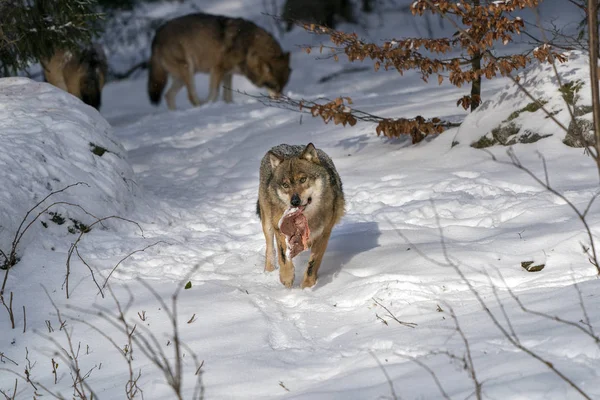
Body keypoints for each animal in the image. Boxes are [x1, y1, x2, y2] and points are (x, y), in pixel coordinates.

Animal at [149, 12, 292, 109]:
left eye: (283, 86)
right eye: (273, 86)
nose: (280, 100)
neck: (248, 47)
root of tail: (157, 33)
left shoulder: (228, 74)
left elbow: (227, 96)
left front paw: (229, 105)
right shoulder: (218, 69)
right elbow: (215, 93)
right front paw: (210, 105)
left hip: (180, 77)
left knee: (168, 96)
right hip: (187, 70)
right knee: (190, 97)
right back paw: (200, 107)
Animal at [255, 144, 344, 288]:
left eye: (303, 179)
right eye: (285, 185)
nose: (295, 201)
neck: (307, 218)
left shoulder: (323, 234)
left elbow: (313, 264)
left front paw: (307, 287)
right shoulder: (279, 229)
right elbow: (283, 257)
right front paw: (286, 278)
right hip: (268, 223)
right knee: (270, 248)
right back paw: (269, 270)